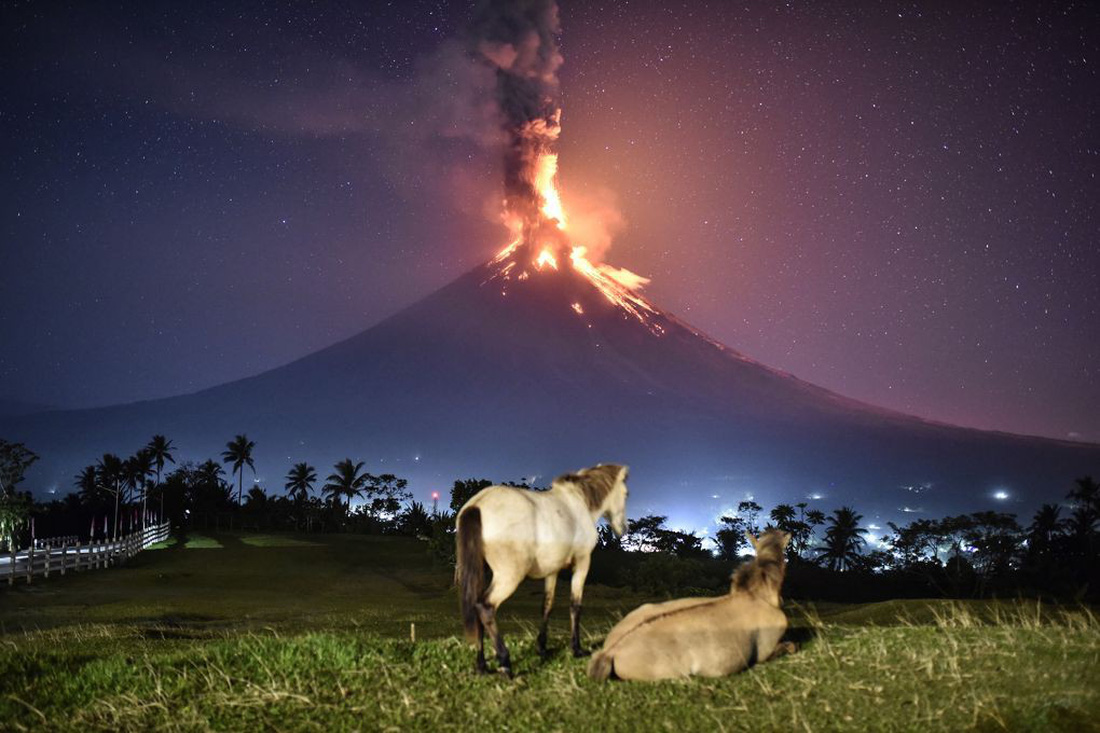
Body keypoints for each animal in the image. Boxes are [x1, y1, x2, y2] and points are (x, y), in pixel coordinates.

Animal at [453, 462, 629, 673]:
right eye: (625, 493)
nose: (623, 528)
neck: (578, 501)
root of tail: (477, 504)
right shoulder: (582, 563)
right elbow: (575, 606)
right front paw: (577, 649)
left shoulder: (552, 571)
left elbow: (547, 605)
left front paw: (542, 647)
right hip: (509, 576)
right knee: (485, 607)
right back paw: (505, 661)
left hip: (480, 573)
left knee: (475, 607)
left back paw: (482, 666)